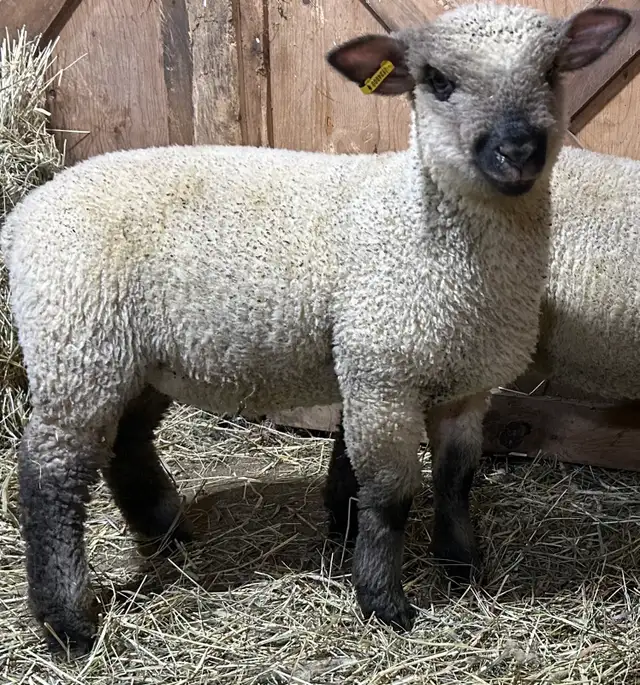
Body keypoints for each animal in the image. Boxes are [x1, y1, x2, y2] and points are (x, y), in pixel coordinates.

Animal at [1, 2, 630, 655]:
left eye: (553, 71)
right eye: (437, 80)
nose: (517, 150)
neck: (418, 223)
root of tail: (25, 214)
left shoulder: (462, 383)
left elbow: (455, 480)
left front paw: (462, 567)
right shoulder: (383, 373)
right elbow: (390, 494)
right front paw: (382, 601)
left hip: (134, 357)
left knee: (125, 440)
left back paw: (164, 529)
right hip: (77, 342)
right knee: (50, 474)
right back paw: (68, 622)